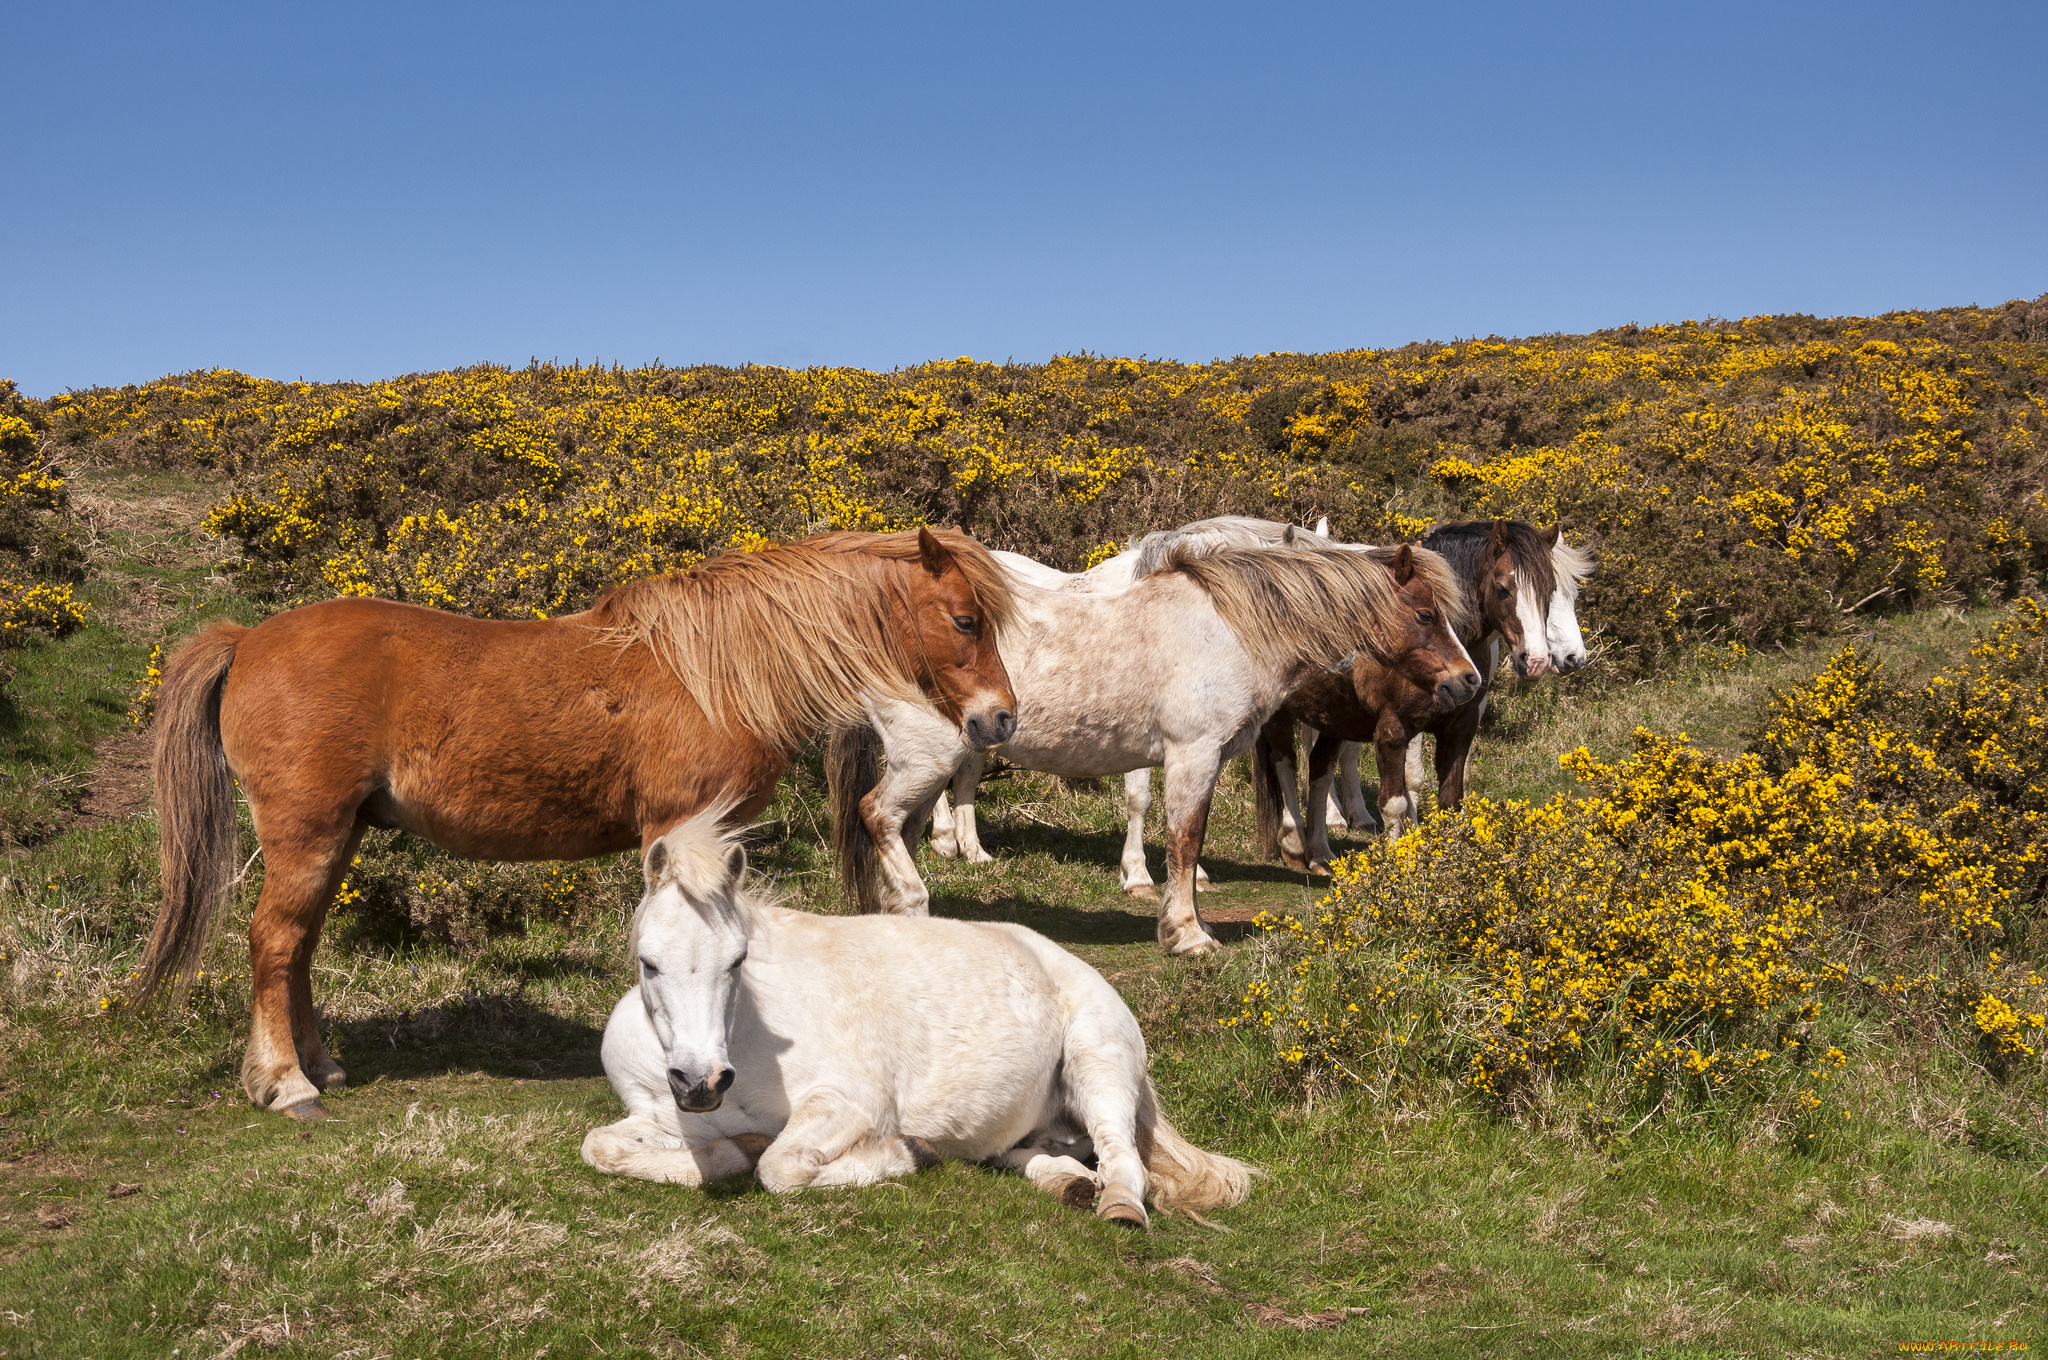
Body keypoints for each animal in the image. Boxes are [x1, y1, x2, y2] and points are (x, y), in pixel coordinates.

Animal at [134, 528, 1015, 1114]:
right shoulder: (682, 835)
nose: (1001, 718)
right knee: (274, 943)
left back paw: (320, 1067)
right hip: (308, 834)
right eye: (966, 620)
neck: (714, 672)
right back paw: (284, 1083)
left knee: (301, 948)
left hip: (339, 835)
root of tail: (248, 640)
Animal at [585, 806, 1253, 1228]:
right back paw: (1065, 1182)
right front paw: (733, 1151)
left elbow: (780, 1167)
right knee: (1036, 1153)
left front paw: (905, 1154)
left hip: (1098, 1062)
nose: (700, 1082)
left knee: (1123, 1160)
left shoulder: (851, 1103)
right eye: (648, 962)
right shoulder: (659, 1115)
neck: (746, 1034)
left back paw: (1114, 1203)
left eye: (737, 958)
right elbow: (603, 1147)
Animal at [823, 536, 1449, 950]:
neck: (1227, 628)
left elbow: (1184, 843)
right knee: (878, 815)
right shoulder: (1192, 755)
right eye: (1424, 612)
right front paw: (1188, 934)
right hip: (928, 759)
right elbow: (1184, 841)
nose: (1463, 682)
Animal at [1245, 553, 1490, 872]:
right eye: (1426, 615)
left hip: (1334, 720)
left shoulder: (1457, 732)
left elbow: (1450, 801)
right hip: (1282, 716)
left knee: (1319, 770)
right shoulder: (1392, 732)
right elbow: (1394, 803)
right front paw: (1397, 863)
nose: (1469, 679)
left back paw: (1320, 853)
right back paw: (1295, 843)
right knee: (1285, 763)